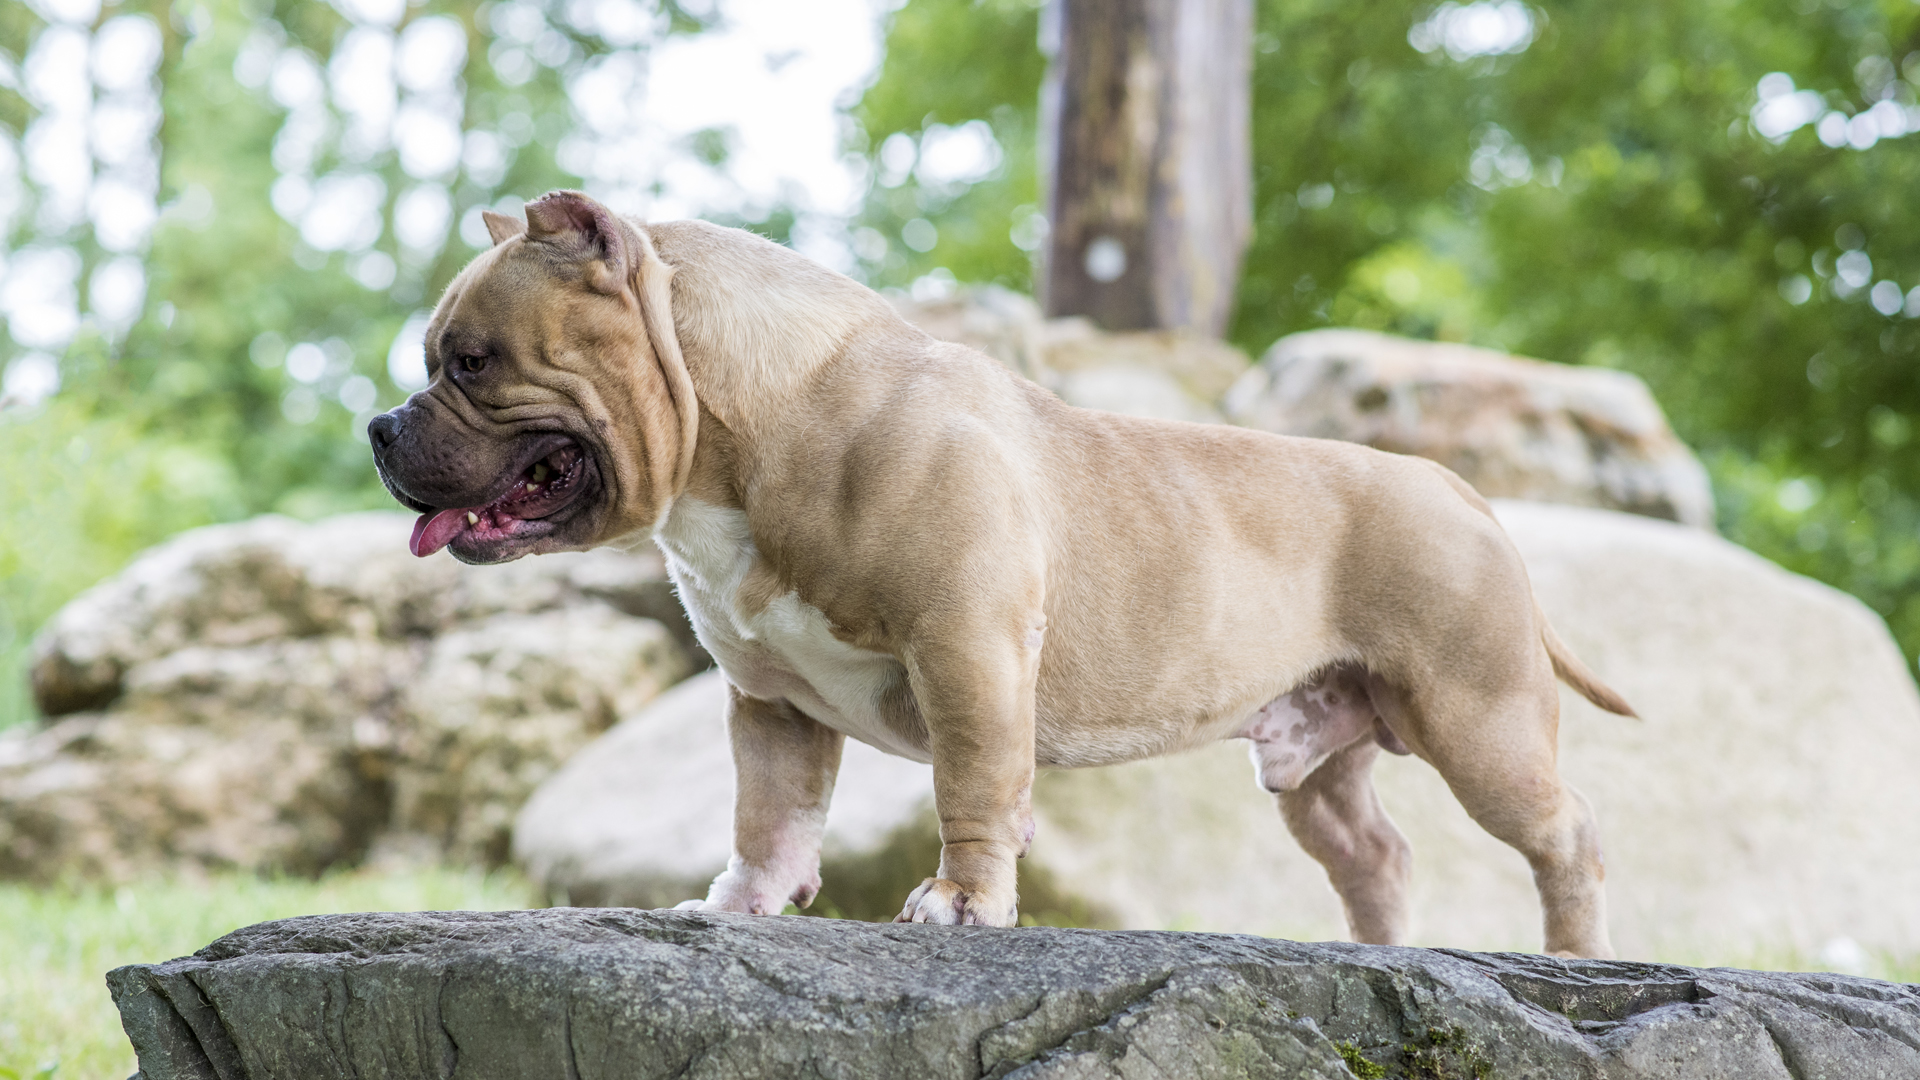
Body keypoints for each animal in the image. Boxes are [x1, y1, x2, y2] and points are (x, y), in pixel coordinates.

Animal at [370, 189, 1635, 953]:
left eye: (468, 361)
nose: (381, 426)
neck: (764, 427)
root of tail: (1458, 489)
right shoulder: (772, 702)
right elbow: (769, 814)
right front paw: (743, 906)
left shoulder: (966, 654)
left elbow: (969, 792)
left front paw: (964, 904)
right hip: (1321, 759)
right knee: (1375, 852)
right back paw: (1374, 953)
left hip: (1478, 717)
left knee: (1567, 834)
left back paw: (1576, 950)